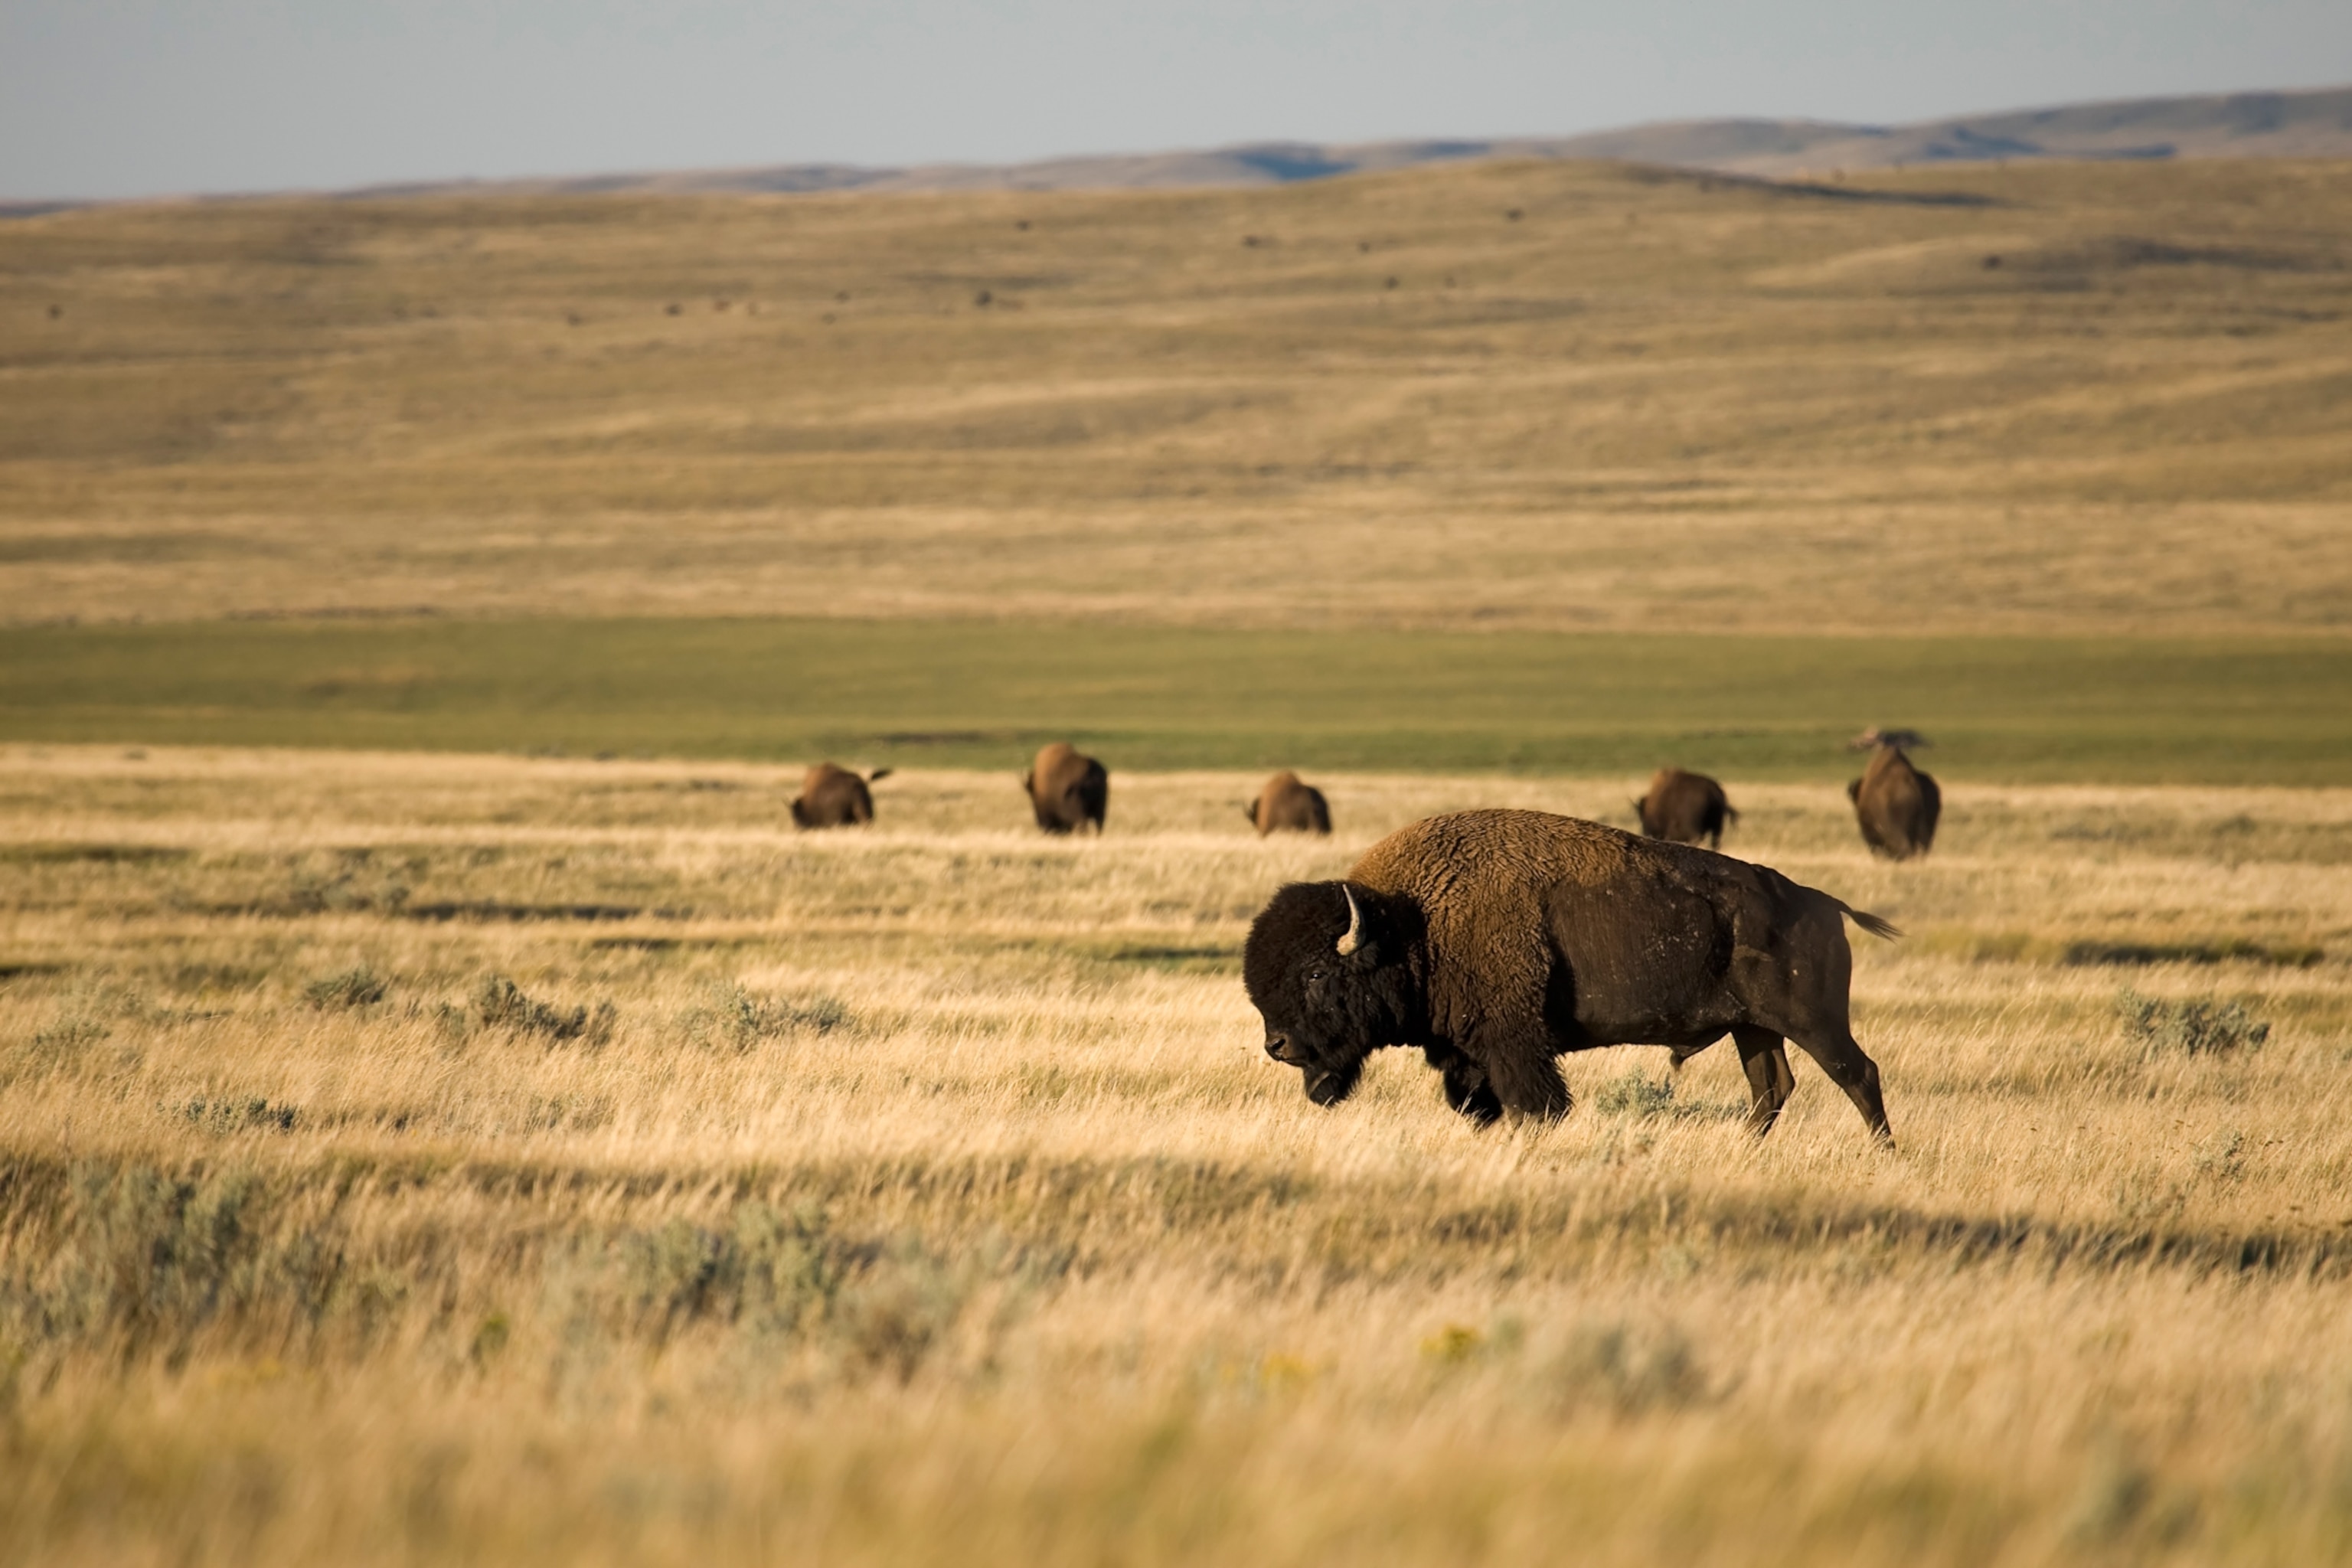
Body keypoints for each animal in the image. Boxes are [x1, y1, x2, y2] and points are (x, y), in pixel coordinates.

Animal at [1243, 809, 1896, 1142]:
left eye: (1317, 973)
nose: (1278, 1044)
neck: (1413, 923)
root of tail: (1821, 902)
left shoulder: (1514, 1046)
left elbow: (1535, 1105)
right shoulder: (1468, 1055)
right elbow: (1478, 1107)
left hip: (1813, 1021)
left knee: (1857, 1075)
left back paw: (1881, 1153)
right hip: (1753, 1028)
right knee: (1770, 1088)